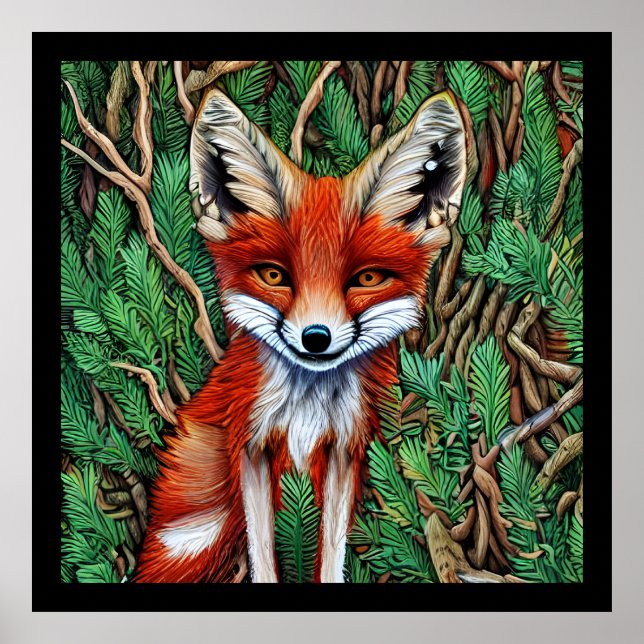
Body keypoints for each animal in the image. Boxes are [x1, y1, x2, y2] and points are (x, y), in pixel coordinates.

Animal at [134, 84, 467, 583]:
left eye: (366, 279)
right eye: (274, 275)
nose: (316, 337)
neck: (305, 409)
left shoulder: (344, 451)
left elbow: (331, 550)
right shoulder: (249, 446)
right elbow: (263, 552)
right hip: (197, 530)